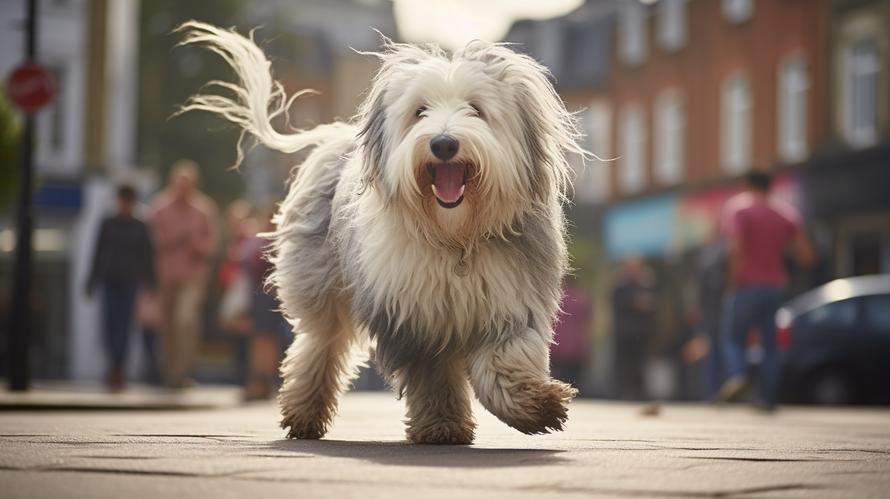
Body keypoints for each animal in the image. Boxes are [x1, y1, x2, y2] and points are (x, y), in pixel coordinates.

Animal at [178, 22, 588, 446]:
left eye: (476, 109)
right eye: (420, 112)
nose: (443, 143)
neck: (456, 238)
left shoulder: (511, 303)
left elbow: (504, 361)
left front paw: (538, 406)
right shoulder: (414, 317)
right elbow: (433, 375)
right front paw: (442, 425)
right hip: (321, 286)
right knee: (319, 345)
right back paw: (304, 414)